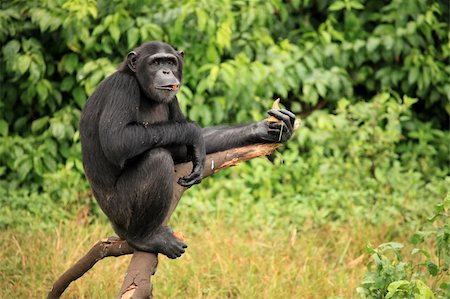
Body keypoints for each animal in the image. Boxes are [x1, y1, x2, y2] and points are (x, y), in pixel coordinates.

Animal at [79, 41, 298, 258]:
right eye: (155, 62)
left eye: (170, 62)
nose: (166, 71)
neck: (142, 89)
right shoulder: (122, 87)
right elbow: (118, 140)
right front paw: (192, 132)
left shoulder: (173, 99)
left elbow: (189, 147)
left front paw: (266, 129)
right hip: (120, 213)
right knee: (157, 158)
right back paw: (143, 238)